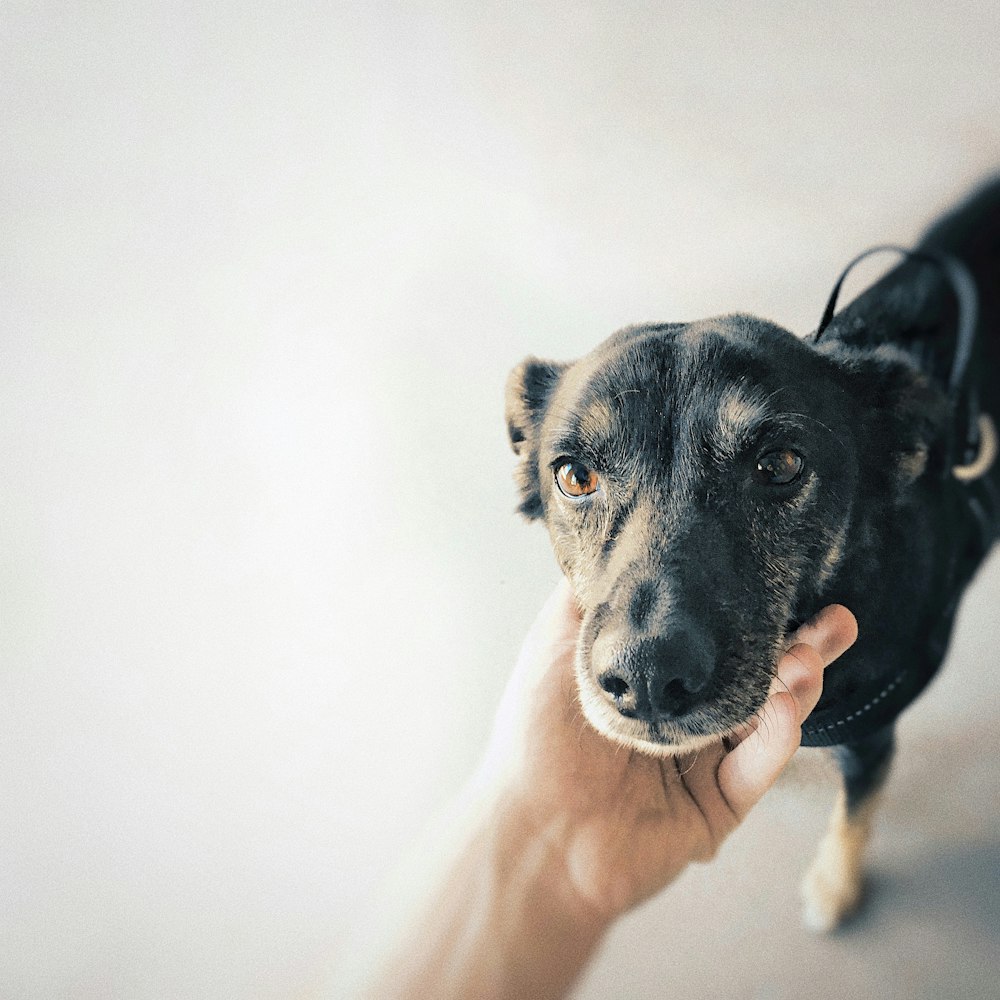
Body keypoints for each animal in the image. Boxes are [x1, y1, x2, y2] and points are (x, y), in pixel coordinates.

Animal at [508, 180, 1000, 928]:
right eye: (575, 477)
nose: (647, 678)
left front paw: (834, 886)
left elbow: (856, 815)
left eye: (780, 465)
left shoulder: (871, 737)